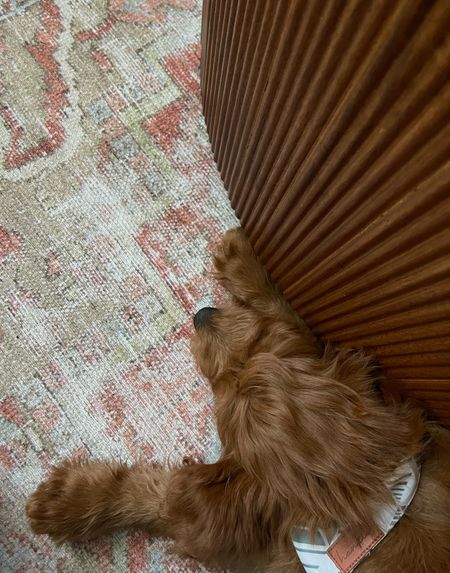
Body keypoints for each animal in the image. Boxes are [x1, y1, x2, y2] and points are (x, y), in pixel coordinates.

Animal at [27, 228, 450, 572]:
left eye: (222, 390)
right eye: (265, 339)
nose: (202, 314)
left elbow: (167, 496)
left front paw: (71, 501)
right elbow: (293, 319)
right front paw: (246, 264)